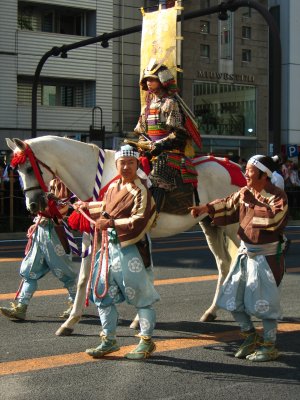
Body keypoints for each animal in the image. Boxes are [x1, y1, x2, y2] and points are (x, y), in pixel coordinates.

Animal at [7, 136, 241, 336]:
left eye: (29, 168)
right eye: (17, 170)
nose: (32, 205)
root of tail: (235, 167)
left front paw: (137, 320)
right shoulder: (92, 232)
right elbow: (84, 278)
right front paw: (70, 321)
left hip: (233, 227)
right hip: (210, 224)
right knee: (224, 264)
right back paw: (212, 311)